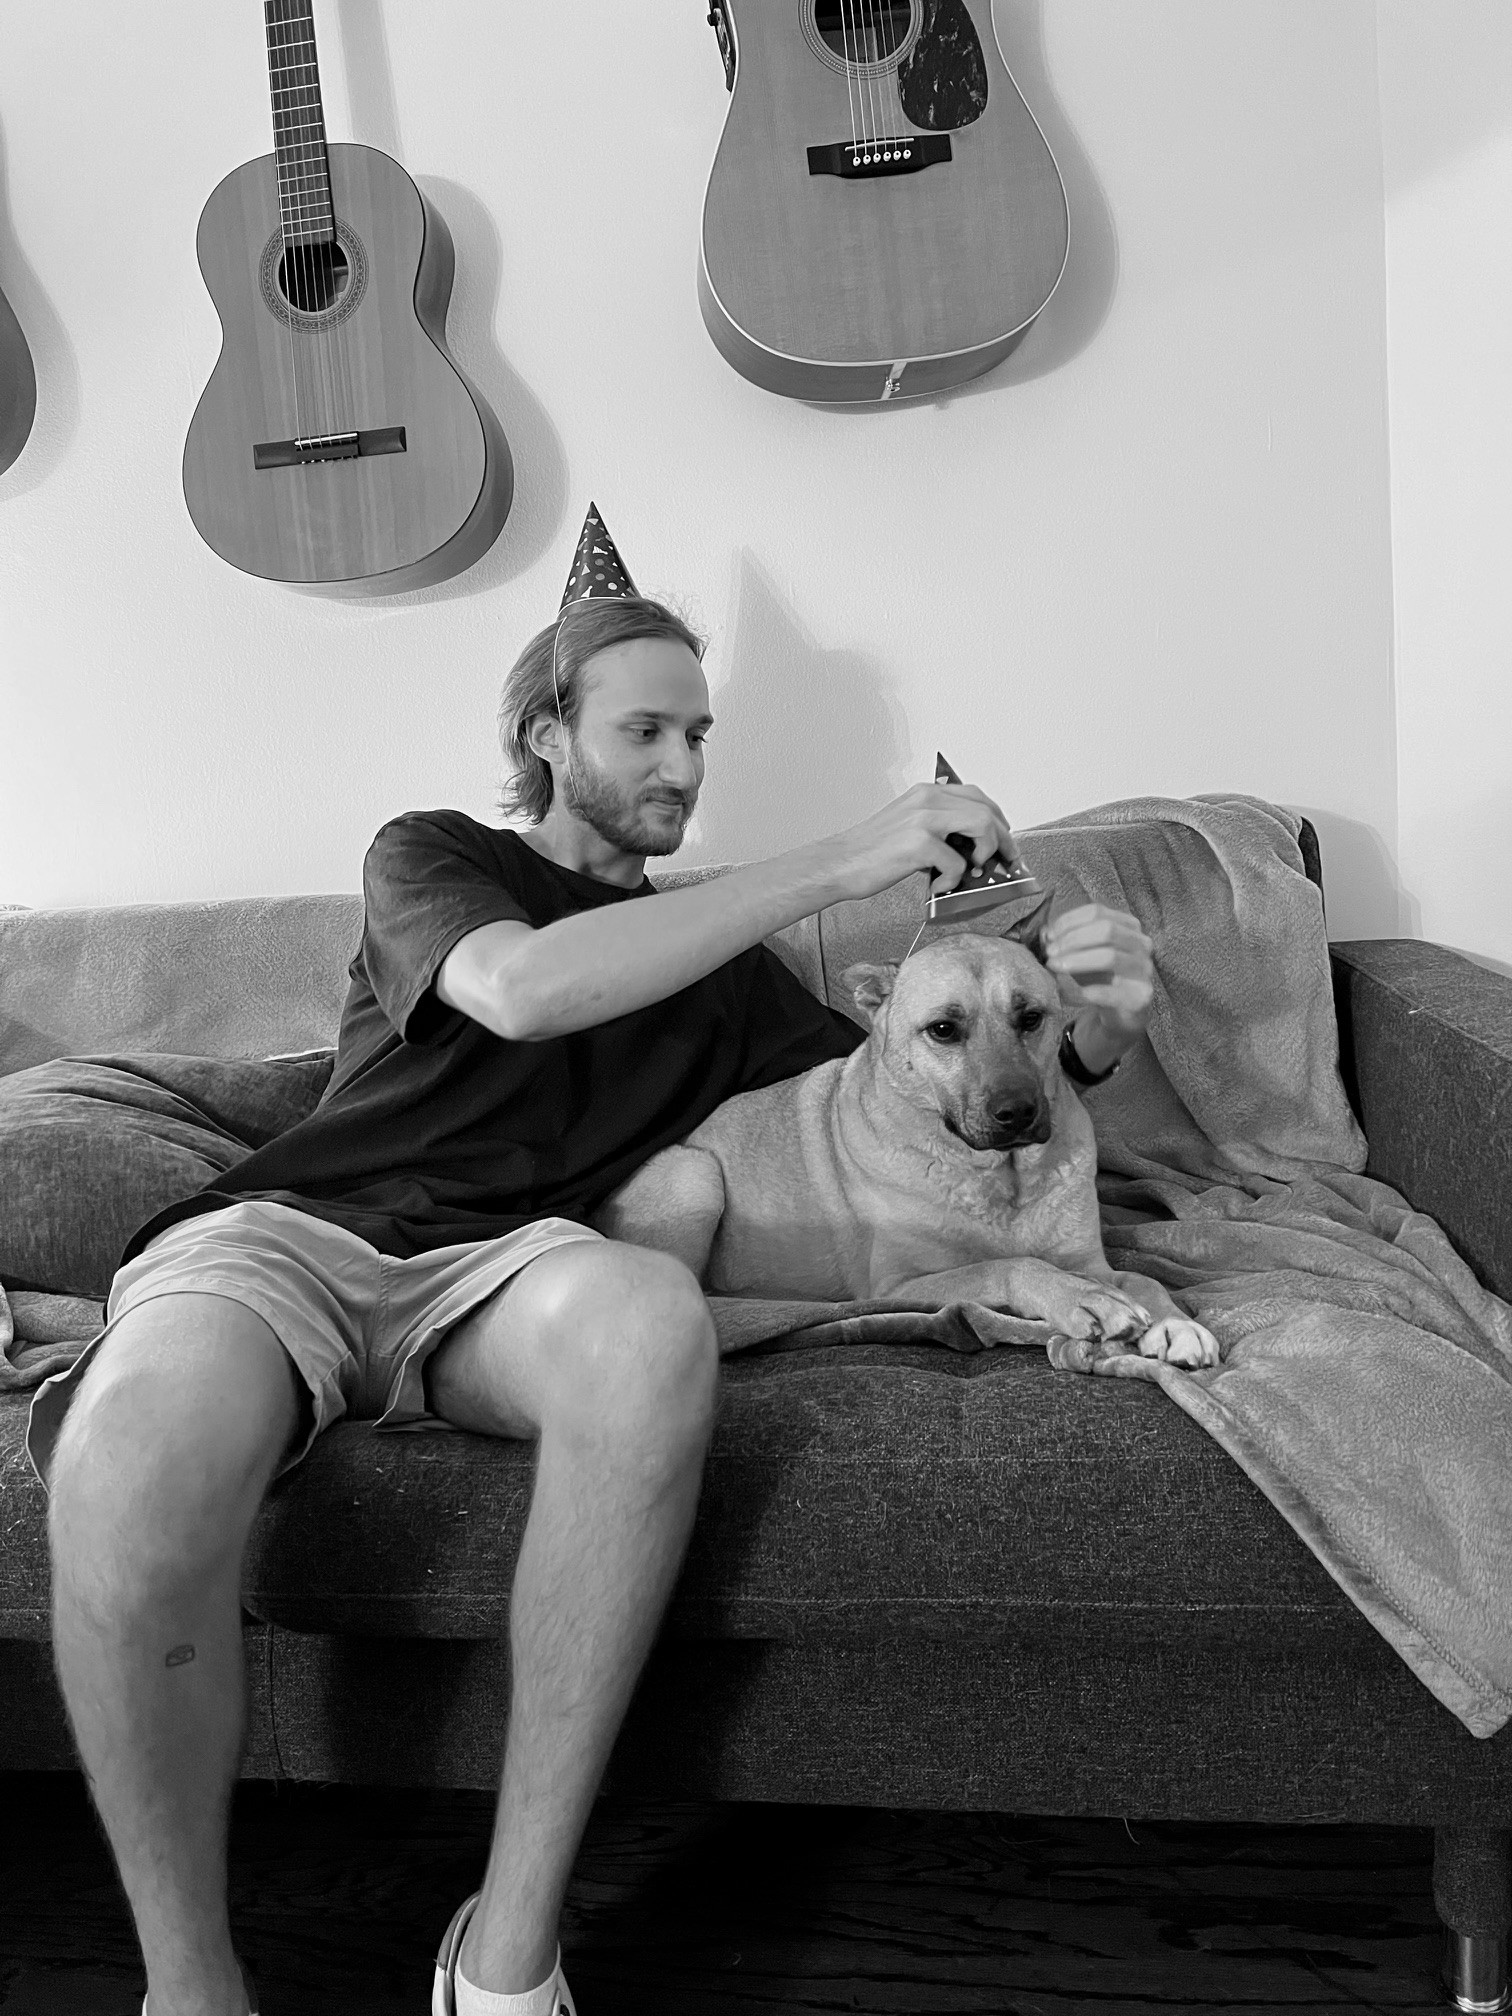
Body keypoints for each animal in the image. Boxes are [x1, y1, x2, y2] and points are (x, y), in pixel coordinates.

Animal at [596, 911, 1225, 1370]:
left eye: (1031, 1018)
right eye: (943, 1030)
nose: (1018, 1114)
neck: (999, 1177)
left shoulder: (1088, 1259)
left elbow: (1140, 1277)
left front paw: (1177, 1322)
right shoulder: (904, 1283)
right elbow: (1010, 1265)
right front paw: (1076, 1299)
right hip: (693, 1173)